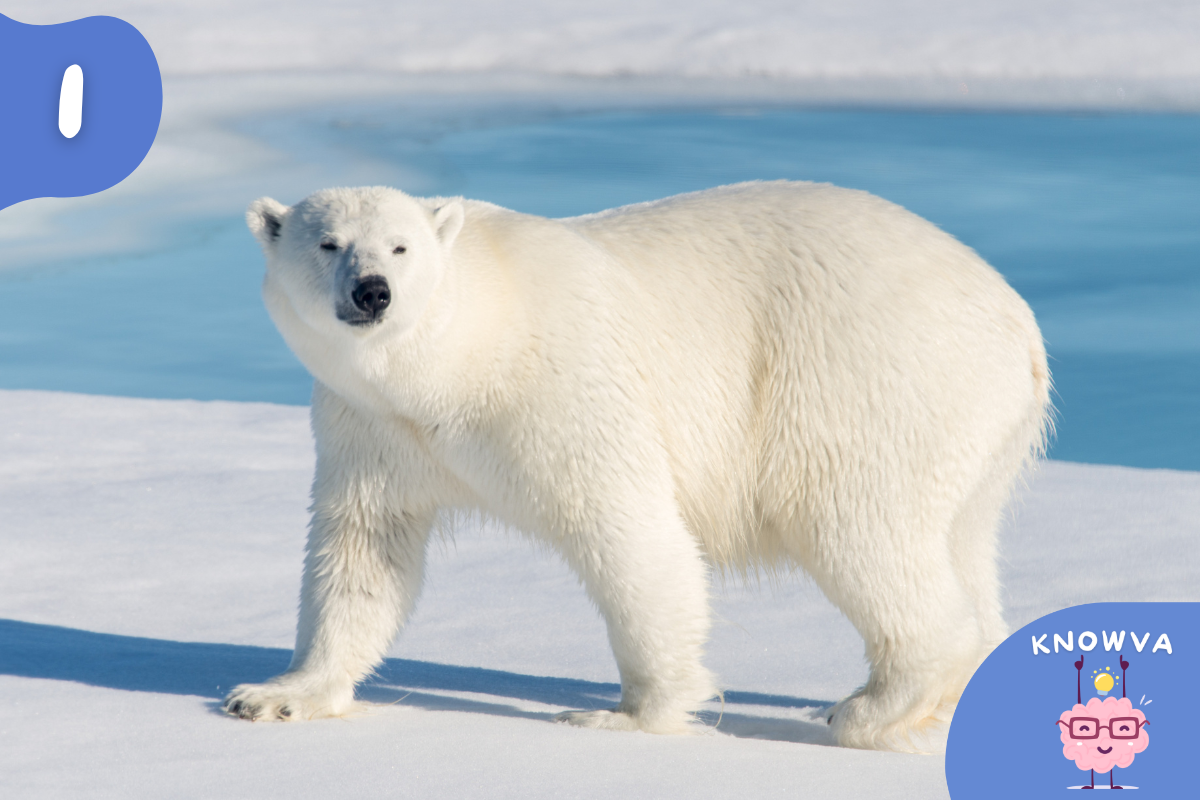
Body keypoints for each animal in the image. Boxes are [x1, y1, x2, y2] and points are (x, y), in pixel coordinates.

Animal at [224, 180, 1050, 752]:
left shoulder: (562, 385)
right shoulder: (373, 427)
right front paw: (275, 694)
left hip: (866, 378)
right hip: (975, 432)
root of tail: (1017, 320)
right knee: (960, 539)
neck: (461, 357)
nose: (373, 293)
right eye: (328, 243)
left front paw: (625, 715)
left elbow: (628, 531)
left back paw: (868, 708)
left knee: (858, 528)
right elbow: (363, 549)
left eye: (401, 247)